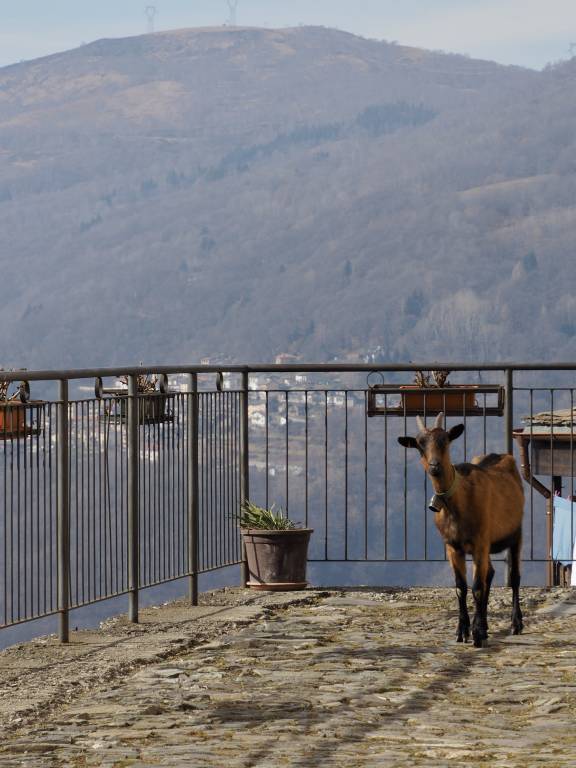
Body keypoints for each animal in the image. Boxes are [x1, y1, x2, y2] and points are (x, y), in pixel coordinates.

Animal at [398, 412, 524, 644]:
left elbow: (477, 587)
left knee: (514, 577)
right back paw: (485, 624)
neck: (458, 504)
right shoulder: (452, 546)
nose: (434, 466)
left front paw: (477, 634)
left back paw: (515, 624)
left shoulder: (480, 542)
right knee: (489, 573)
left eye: (445, 440)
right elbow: (461, 587)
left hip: (516, 533)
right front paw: (462, 631)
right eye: (420, 444)